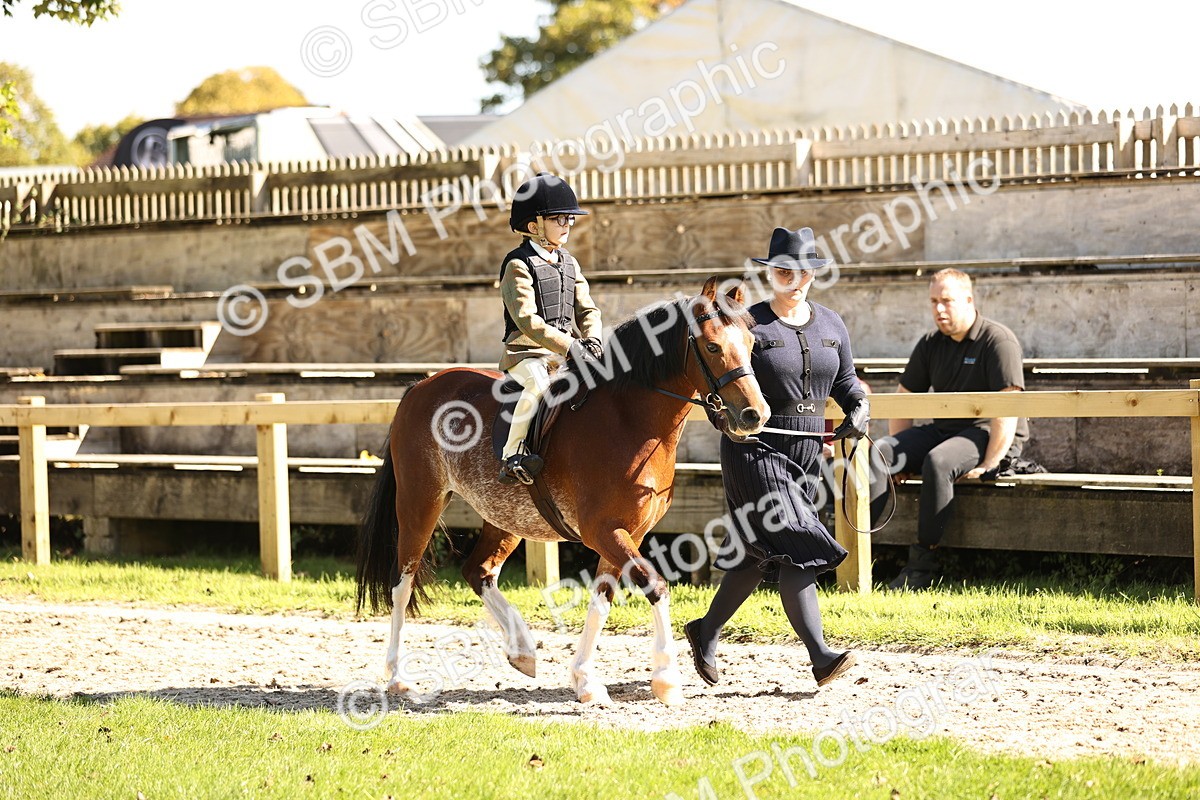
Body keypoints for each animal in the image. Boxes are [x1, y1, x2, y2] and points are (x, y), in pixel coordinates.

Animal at [355, 277, 768, 706]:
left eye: (751, 344)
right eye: (712, 346)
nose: (755, 415)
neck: (627, 418)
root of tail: (421, 385)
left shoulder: (628, 534)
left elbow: (602, 599)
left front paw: (585, 679)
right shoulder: (603, 531)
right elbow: (654, 586)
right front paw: (667, 679)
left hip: (506, 517)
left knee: (478, 571)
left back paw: (522, 650)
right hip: (420, 503)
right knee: (402, 583)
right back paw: (398, 677)